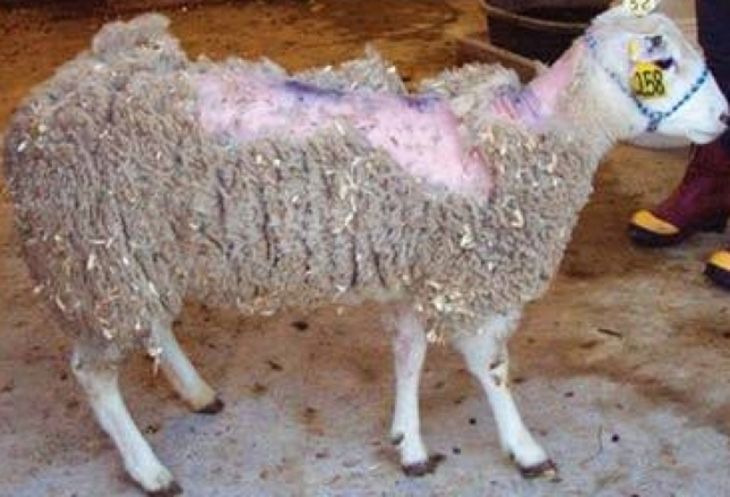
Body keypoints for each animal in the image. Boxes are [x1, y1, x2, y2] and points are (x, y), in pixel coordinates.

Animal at [2, 5, 728, 495]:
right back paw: (149, 467)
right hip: (93, 250)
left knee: (150, 323)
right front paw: (524, 449)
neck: (525, 132)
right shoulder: (465, 279)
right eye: (663, 65)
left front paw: (409, 443)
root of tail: (41, 103)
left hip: (128, 250)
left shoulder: (418, 270)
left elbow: (407, 355)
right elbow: (490, 368)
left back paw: (197, 391)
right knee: (94, 374)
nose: (724, 118)